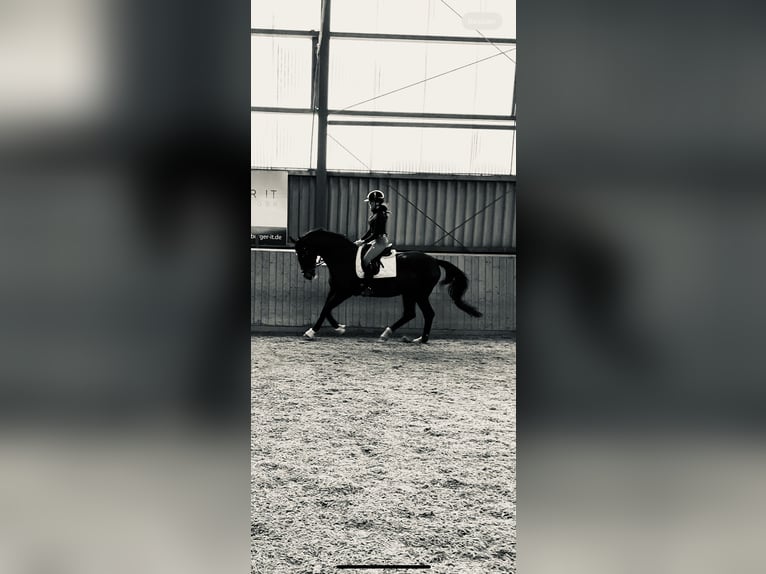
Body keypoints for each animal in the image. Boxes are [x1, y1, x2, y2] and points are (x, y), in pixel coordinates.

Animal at [289, 229, 482, 343]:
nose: (308, 275)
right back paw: (391, 334)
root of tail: (434, 260)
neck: (343, 257)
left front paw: (311, 332)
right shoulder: (336, 289)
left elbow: (327, 308)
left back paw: (420, 339)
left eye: (304, 252)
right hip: (409, 293)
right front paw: (339, 328)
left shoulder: (346, 291)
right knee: (410, 313)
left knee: (427, 313)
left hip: (419, 294)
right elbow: (326, 308)